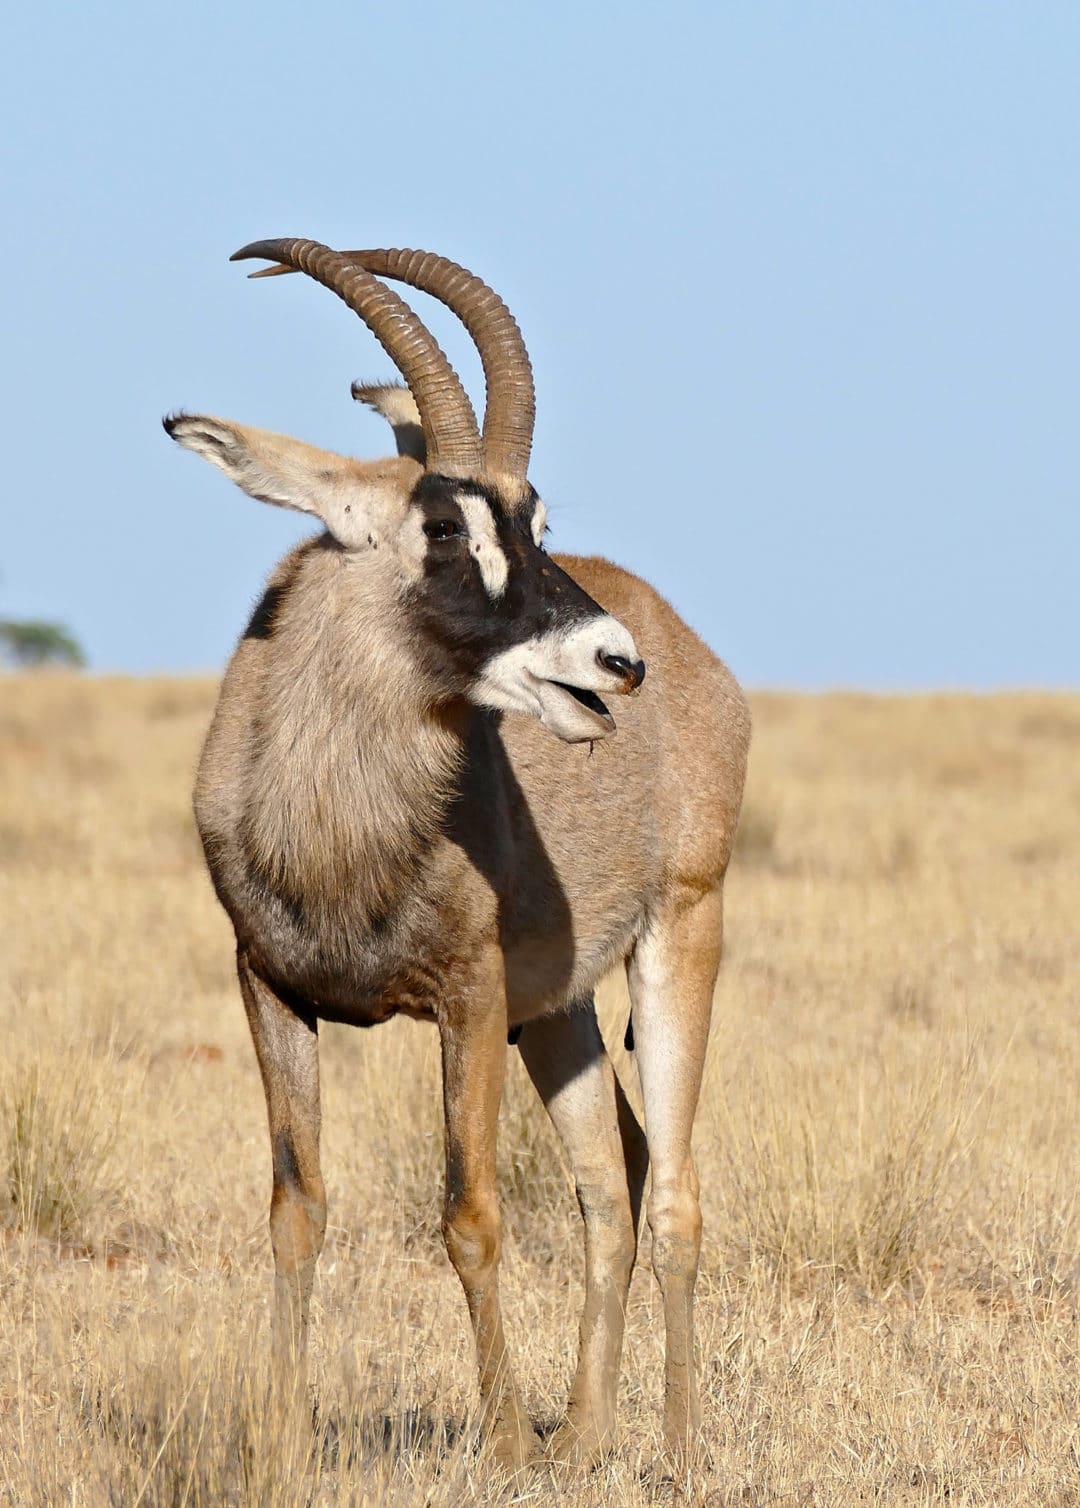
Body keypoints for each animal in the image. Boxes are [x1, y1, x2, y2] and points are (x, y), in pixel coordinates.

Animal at [164, 238, 751, 1471]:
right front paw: (283, 1441)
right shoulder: (269, 988)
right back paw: (586, 1437)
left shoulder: (467, 999)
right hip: (559, 1014)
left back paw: (672, 1448)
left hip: (679, 936)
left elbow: (468, 1212)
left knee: (674, 1191)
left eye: (533, 518)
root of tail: (693, 652)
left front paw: (506, 1443)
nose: (614, 662)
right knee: (609, 1184)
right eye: (444, 527)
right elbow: (296, 1207)